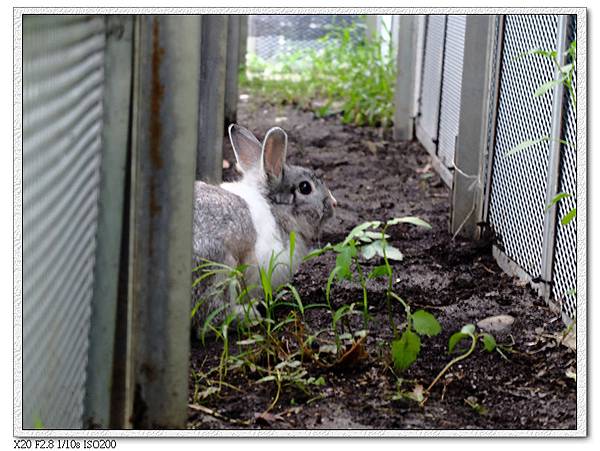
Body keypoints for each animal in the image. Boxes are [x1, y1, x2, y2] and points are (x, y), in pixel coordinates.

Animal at [191, 123, 336, 332]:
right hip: (219, 269)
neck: (274, 209)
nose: (333, 203)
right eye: (305, 188)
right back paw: (250, 316)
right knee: (211, 318)